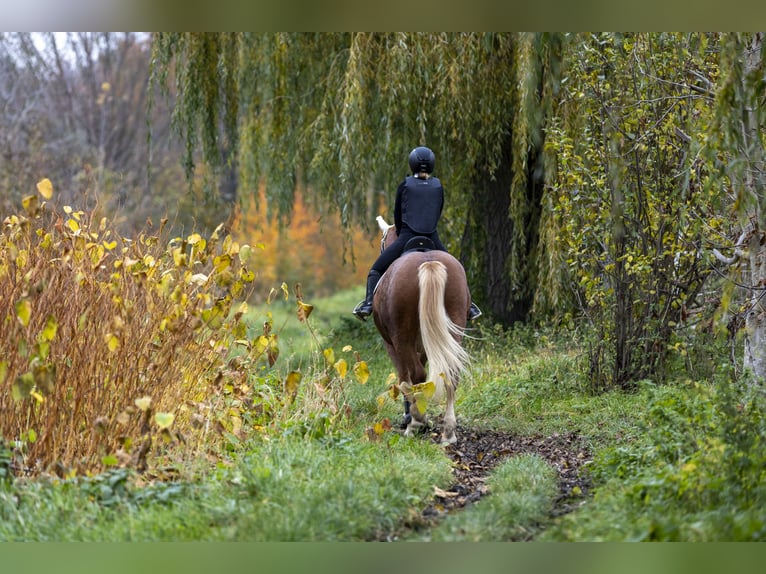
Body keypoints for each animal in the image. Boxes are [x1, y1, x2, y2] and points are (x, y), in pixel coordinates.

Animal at [371, 216, 471, 445]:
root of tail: (428, 261)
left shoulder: (391, 344)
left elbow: (404, 379)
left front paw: (410, 417)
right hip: (453, 327)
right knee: (451, 372)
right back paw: (448, 432)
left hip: (401, 336)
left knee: (416, 374)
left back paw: (416, 422)